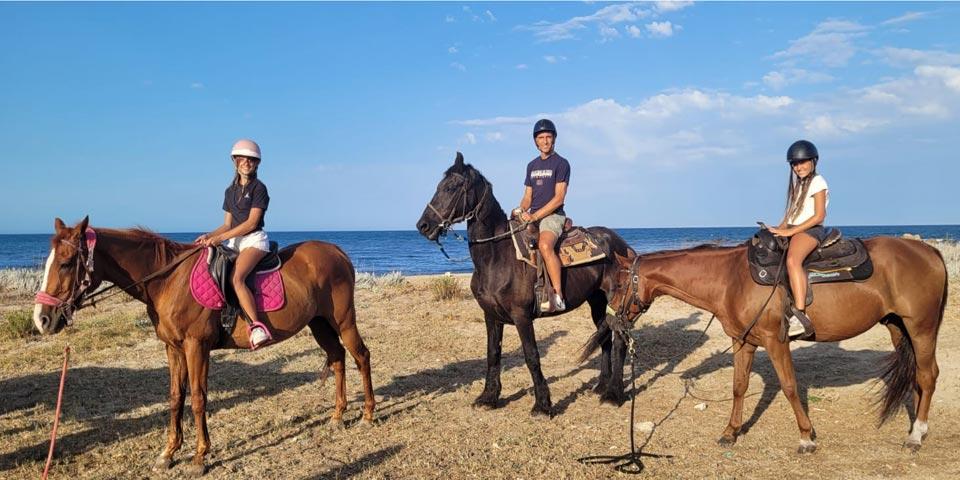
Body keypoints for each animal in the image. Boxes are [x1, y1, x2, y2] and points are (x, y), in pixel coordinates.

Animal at [32, 217, 375, 476]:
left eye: (66, 263)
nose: (42, 319)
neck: (168, 280)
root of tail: (336, 251)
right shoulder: (173, 348)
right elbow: (175, 398)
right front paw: (169, 453)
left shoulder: (197, 347)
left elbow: (197, 399)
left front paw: (199, 456)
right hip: (319, 323)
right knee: (338, 358)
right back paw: (338, 416)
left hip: (343, 320)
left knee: (360, 356)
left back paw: (368, 415)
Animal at [415, 152, 634, 416]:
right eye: (439, 185)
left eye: (452, 187)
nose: (423, 226)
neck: (498, 256)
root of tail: (620, 243)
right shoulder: (491, 316)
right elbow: (493, 354)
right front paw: (489, 397)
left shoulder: (522, 317)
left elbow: (531, 356)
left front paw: (543, 404)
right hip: (596, 301)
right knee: (605, 337)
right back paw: (602, 386)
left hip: (615, 300)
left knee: (619, 339)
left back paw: (614, 394)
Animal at [587, 238, 947, 453]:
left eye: (619, 283)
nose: (614, 322)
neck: (730, 279)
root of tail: (929, 251)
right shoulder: (742, 342)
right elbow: (739, 387)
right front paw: (730, 432)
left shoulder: (776, 341)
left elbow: (788, 386)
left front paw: (806, 437)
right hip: (898, 327)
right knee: (917, 376)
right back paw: (917, 427)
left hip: (922, 327)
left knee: (928, 375)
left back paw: (916, 435)